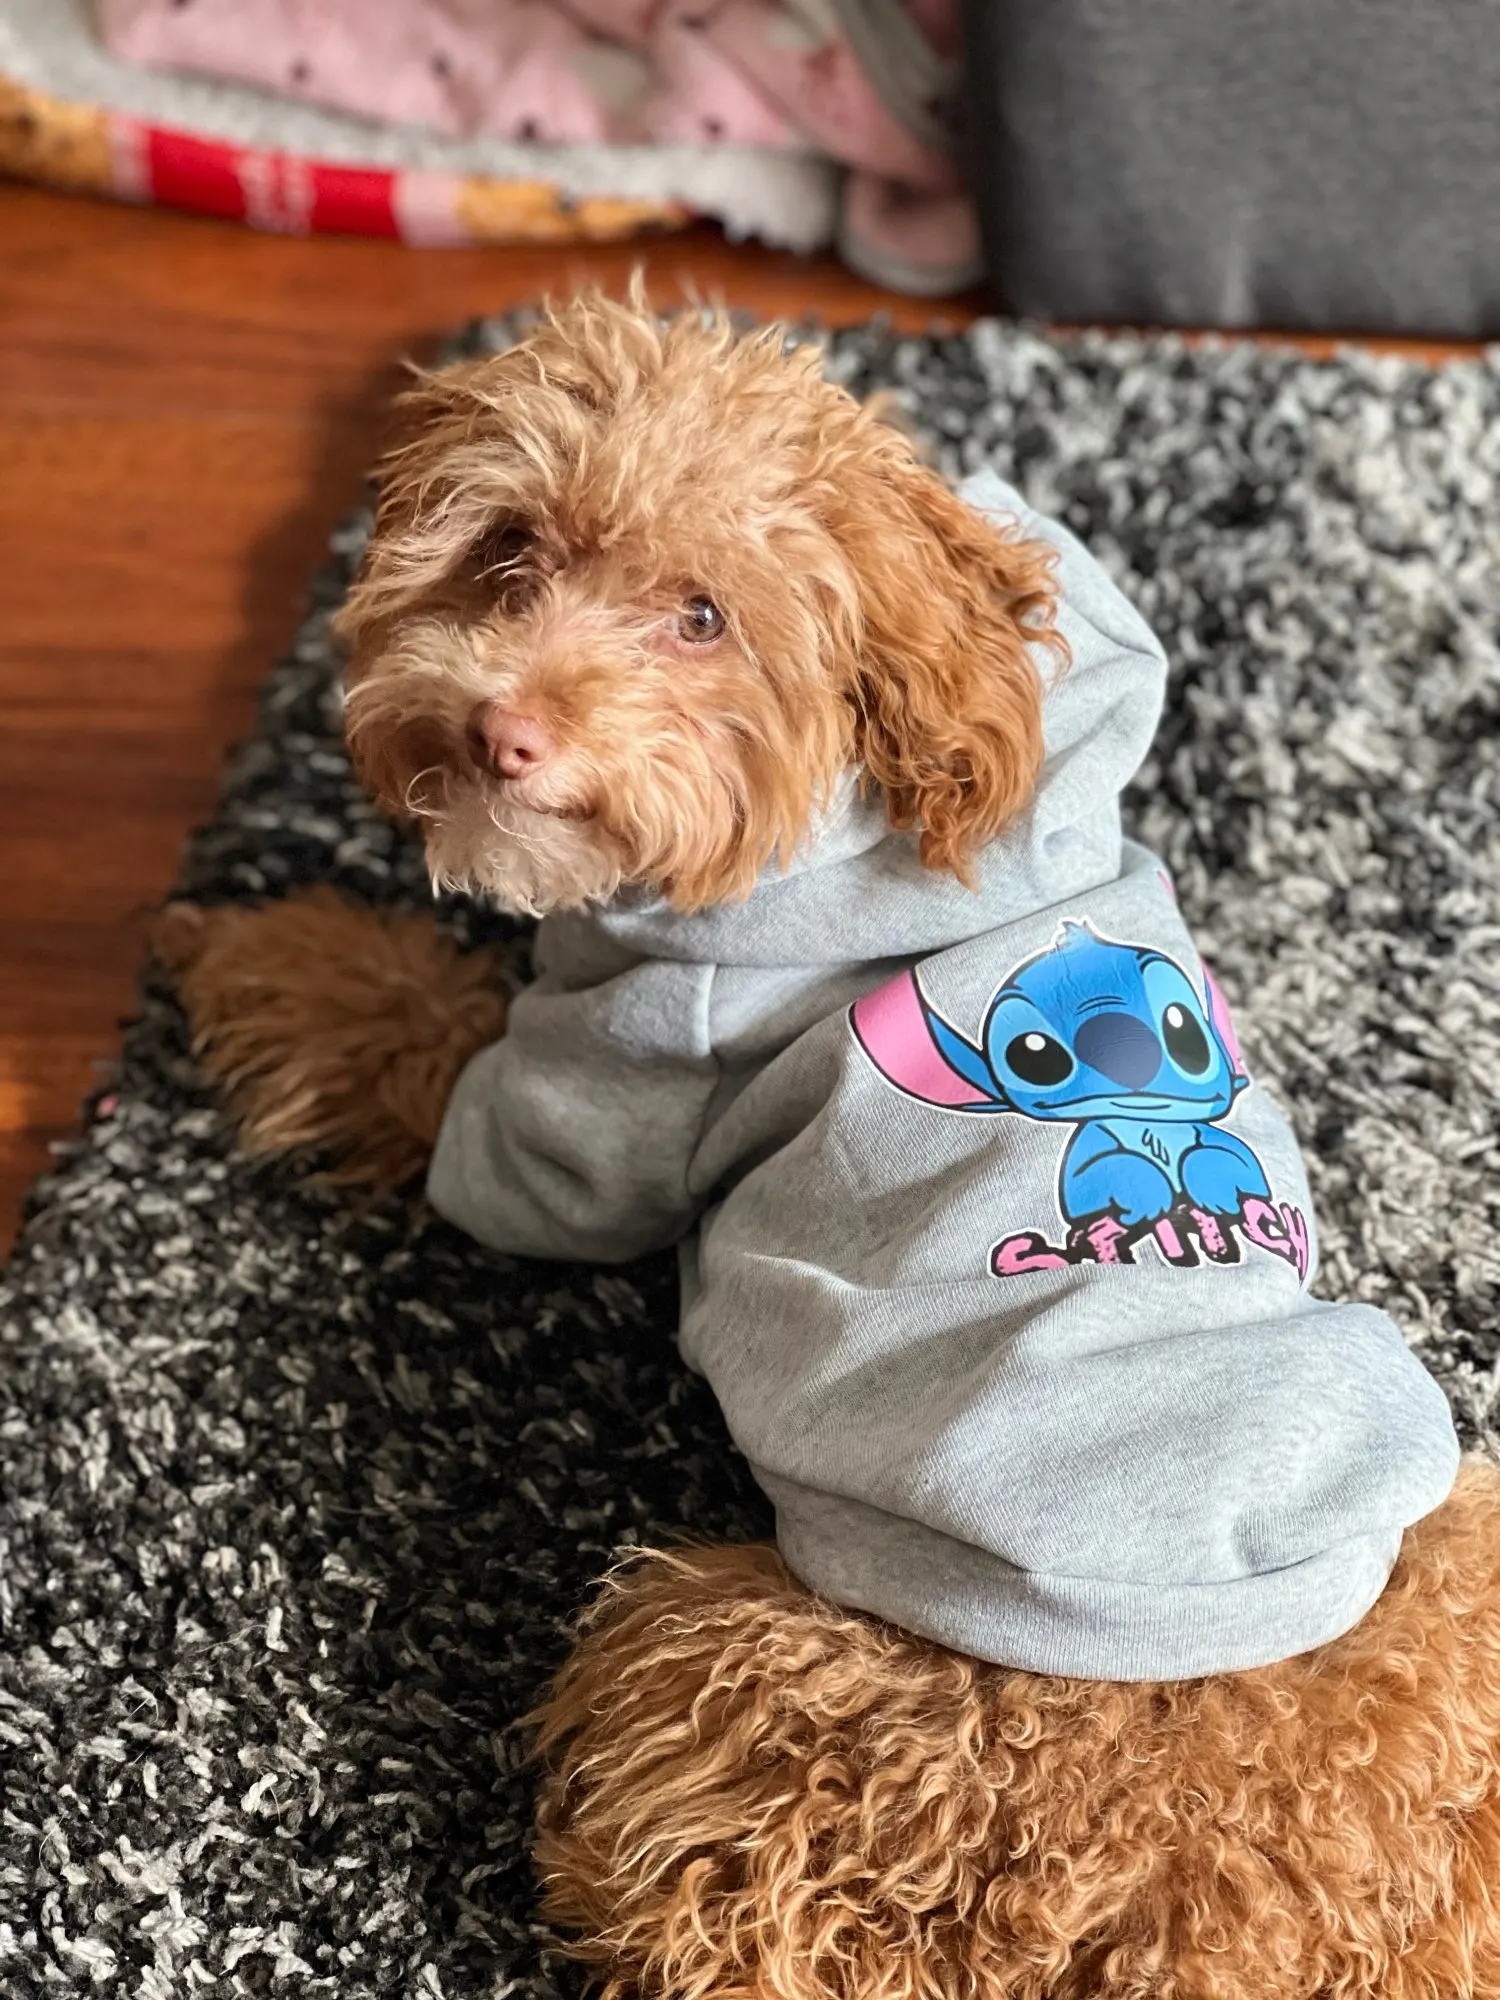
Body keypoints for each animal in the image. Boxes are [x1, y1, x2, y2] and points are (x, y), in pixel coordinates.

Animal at [159, 291, 1500, 2000]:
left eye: (702, 620)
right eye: (511, 550)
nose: (500, 729)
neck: (873, 810)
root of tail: (1257, 1906)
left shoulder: (602, 1090)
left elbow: (406, 1024)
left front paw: (249, 943)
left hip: (750, 1685)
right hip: (1460, 1559)